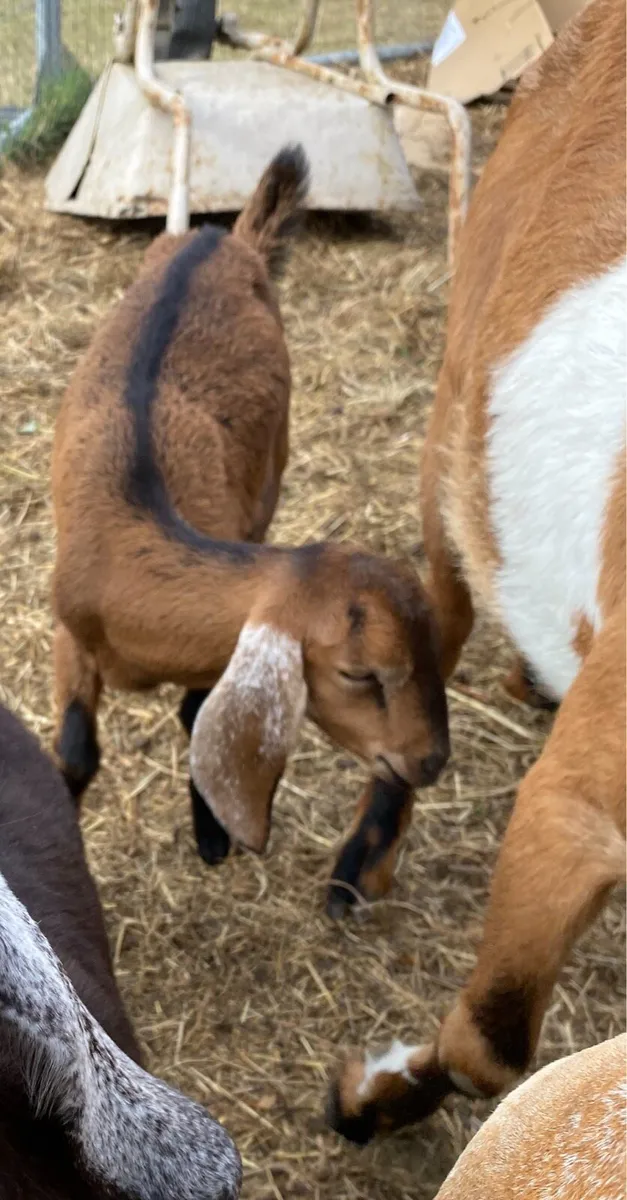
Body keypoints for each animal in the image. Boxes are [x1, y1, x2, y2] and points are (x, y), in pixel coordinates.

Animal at [51, 144, 450, 918]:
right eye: (359, 673)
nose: (430, 761)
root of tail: (222, 237)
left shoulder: (215, 637)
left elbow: (194, 711)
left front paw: (211, 832)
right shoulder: (67, 627)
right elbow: (76, 753)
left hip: (273, 470)